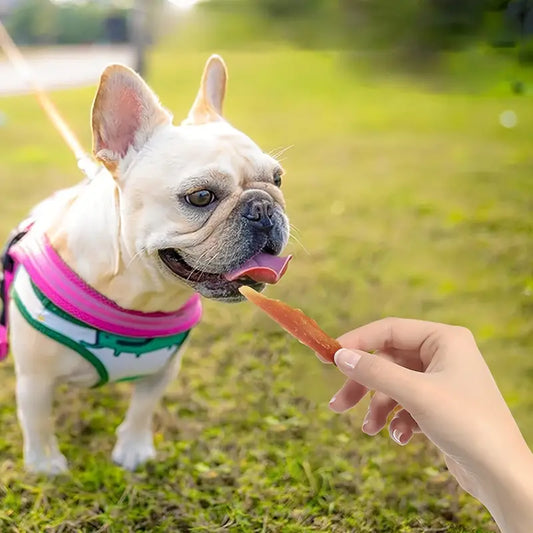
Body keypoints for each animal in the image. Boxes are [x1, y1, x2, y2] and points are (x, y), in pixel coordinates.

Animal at [0, 54, 288, 472]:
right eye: (201, 197)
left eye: (278, 180)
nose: (263, 207)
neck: (142, 295)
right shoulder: (35, 379)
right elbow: (38, 422)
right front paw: (45, 465)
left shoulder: (162, 372)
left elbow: (142, 410)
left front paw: (133, 450)